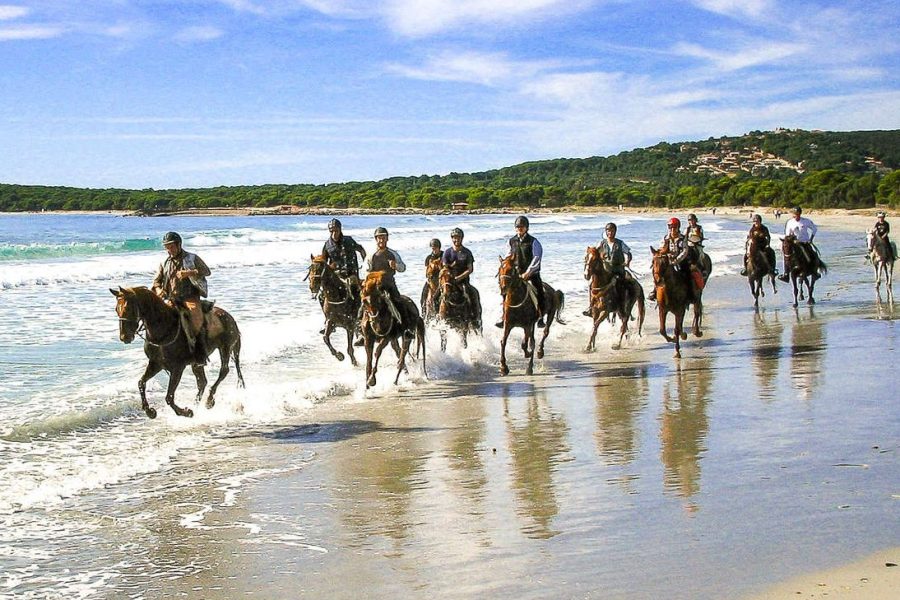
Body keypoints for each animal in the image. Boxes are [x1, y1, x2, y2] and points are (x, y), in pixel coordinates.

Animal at [111, 284, 244, 418]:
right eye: (117, 309)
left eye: (128, 308)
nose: (124, 337)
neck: (164, 329)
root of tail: (229, 317)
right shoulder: (155, 364)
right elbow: (141, 383)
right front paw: (150, 411)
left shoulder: (177, 368)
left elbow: (169, 397)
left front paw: (186, 412)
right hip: (197, 363)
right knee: (202, 382)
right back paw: (196, 403)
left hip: (225, 348)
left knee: (223, 371)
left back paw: (209, 400)